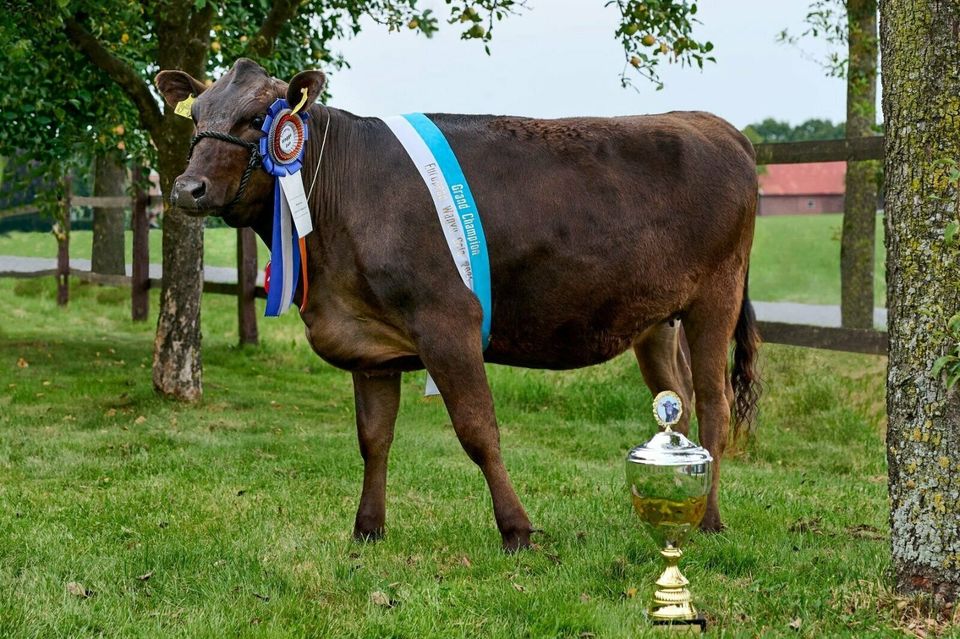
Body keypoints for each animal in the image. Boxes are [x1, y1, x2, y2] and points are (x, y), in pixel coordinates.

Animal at [156, 57, 756, 552]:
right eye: (197, 116)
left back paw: (708, 520)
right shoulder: (369, 345)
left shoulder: (449, 324)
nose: (187, 188)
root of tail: (714, 124)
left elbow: (477, 431)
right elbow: (373, 438)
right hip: (656, 319)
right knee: (676, 397)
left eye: (259, 117)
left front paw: (516, 530)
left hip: (715, 297)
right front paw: (367, 528)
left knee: (714, 403)